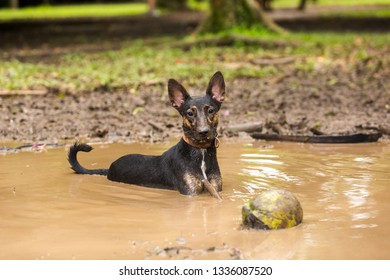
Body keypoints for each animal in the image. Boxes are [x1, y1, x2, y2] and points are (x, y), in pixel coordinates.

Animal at [68, 72, 225, 199]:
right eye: (190, 113)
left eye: (211, 110)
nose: (203, 132)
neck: (200, 151)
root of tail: (109, 168)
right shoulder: (190, 192)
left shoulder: (215, 188)